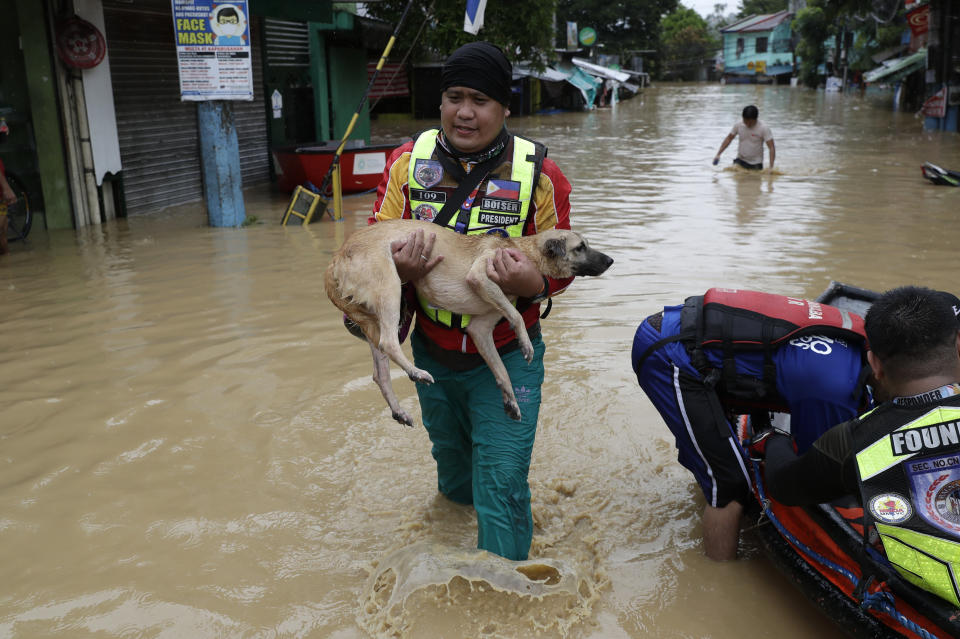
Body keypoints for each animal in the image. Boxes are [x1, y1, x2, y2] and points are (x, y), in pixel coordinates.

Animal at [326, 220, 616, 424]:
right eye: (580, 247)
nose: (611, 260)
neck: (524, 250)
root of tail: (337, 257)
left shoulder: (481, 328)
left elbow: (502, 370)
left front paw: (512, 402)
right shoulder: (480, 276)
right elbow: (517, 317)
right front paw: (525, 343)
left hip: (373, 318)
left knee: (380, 374)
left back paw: (399, 410)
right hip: (390, 290)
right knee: (389, 343)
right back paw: (417, 373)